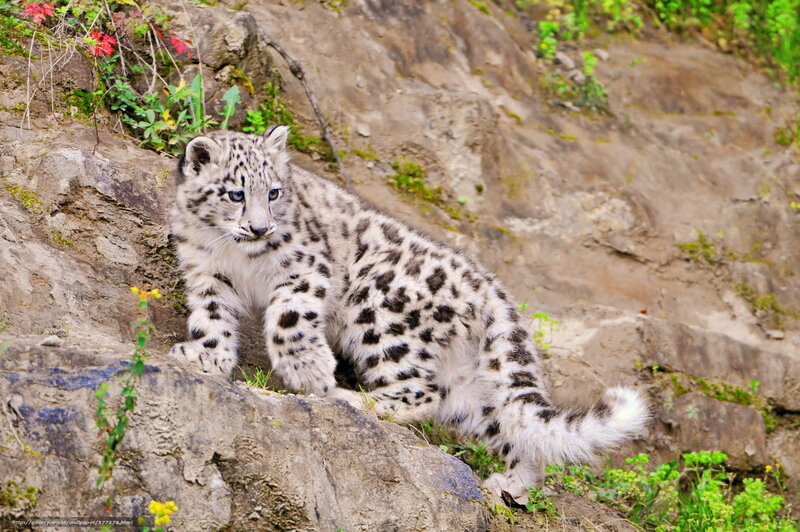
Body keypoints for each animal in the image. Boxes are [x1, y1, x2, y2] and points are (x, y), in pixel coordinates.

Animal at [169, 126, 649, 501]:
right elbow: (210, 315)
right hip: (469, 385)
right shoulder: (206, 272)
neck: (235, 254)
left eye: (273, 192)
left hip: (378, 311)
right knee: (507, 425)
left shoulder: (305, 268)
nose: (260, 227)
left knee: (420, 391)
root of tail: (490, 285)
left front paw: (309, 371)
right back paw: (510, 485)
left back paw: (351, 398)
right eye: (235, 193)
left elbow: (290, 318)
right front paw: (206, 356)